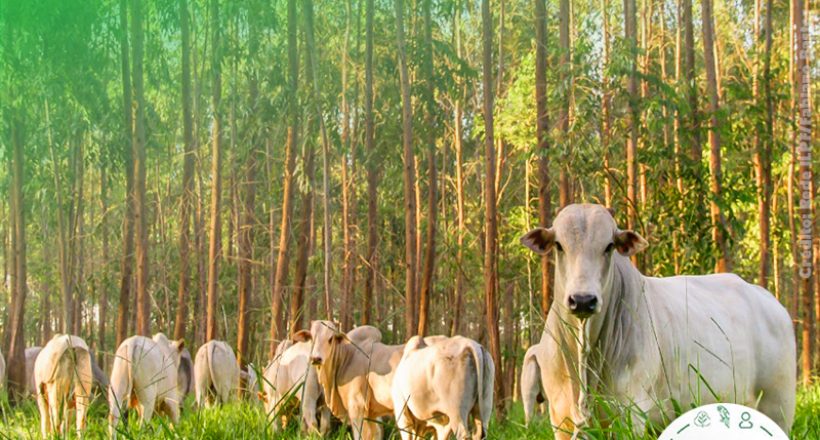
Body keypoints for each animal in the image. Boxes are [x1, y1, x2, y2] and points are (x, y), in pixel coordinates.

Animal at [524, 205, 796, 438]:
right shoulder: (561, 420)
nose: (582, 300)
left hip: (778, 406)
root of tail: (772, 302)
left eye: (609, 246)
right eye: (559, 245)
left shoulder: (630, 413)